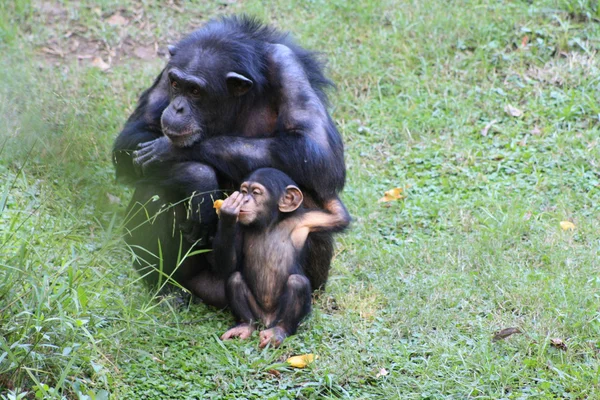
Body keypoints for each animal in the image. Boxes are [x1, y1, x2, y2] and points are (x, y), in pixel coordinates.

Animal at [113, 14, 346, 304]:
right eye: (176, 84)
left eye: (195, 91)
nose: (177, 108)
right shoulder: (168, 68)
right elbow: (132, 139)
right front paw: (199, 178)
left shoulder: (287, 65)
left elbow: (317, 151)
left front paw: (171, 151)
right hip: (192, 276)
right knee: (153, 189)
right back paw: (165, 289)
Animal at [218, 168, 352, 346]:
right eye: (244, 191)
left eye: (255, 193)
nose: (244, 199)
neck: (269, 223)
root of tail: (267, 320)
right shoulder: (241, 226)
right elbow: (229, 265)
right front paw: (227, 213)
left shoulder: (308, 220)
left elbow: (339, 217)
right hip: (257, 314)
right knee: (235, 279)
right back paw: (245, 326)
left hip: (283, 314)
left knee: (297, 283)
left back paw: (278, 331)